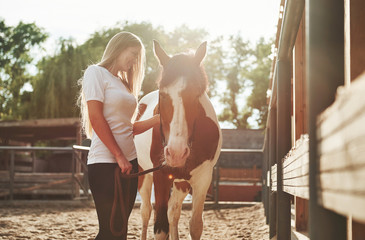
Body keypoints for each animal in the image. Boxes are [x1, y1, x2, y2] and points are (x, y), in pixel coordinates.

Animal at [132, 41, 220, 240]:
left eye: (196, 94)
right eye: (163, 94)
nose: (176, 153)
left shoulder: (203, 179)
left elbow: (195, 226)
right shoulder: (160, 176)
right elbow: (160, 228)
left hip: (181, 182)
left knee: (173, 211)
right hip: (144, 174)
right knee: (146, 211)